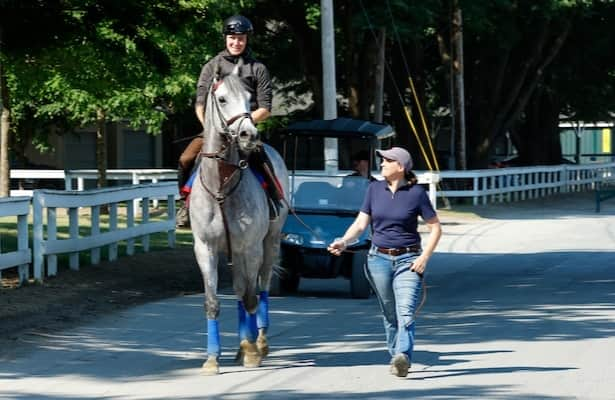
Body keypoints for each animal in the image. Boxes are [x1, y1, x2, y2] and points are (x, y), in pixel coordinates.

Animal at [190, 61, 288, 374]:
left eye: (249, 99)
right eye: (221, 99)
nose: (248, 135)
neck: (222, 186)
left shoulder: (251, 247)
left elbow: (251, 297)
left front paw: (253, 351)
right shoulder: (206, 249)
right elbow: (214, 302)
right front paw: (212, 359)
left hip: (269, 243)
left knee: (261, 287)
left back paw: (259, 343)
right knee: (238, 291)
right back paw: (241, 347)